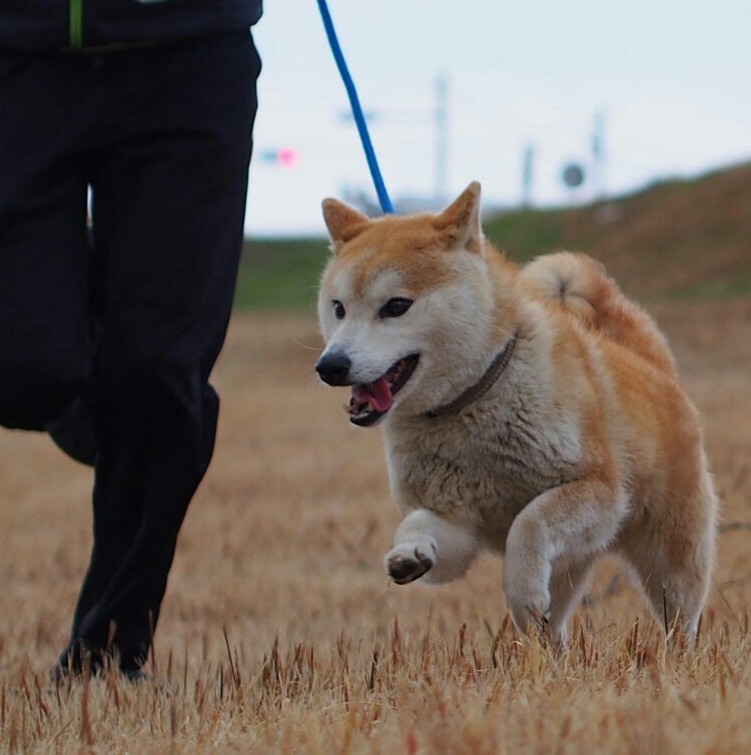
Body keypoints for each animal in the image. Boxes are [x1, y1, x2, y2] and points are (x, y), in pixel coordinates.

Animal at [314, 183, 720, 644]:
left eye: (396, 305)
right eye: (338, 308)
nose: (331, 366)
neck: (471, 402)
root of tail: (654, 365)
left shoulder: (599, 491)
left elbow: (527, 525)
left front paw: (521, 592)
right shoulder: (453, 522)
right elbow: (417, 523)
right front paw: (408, 552)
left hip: (672, 562)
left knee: (681, 620)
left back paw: (674, 657)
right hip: (573, 564)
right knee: (555, 626)